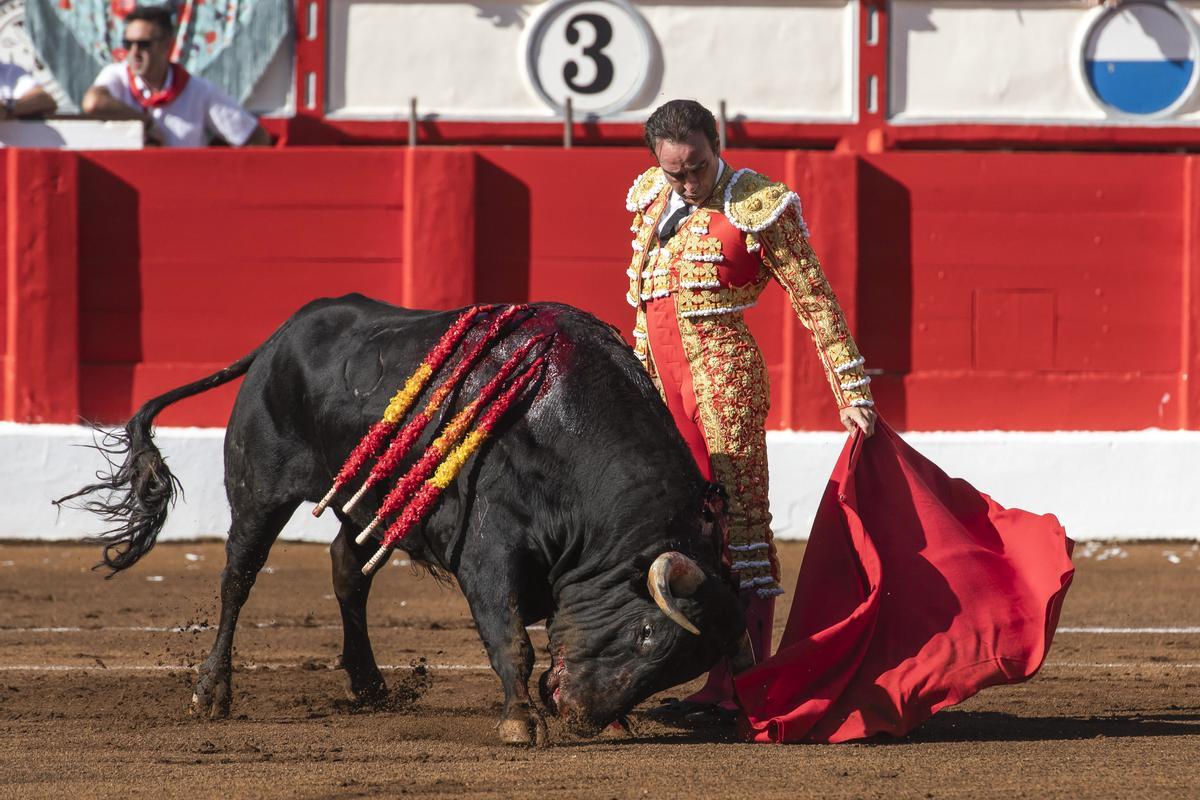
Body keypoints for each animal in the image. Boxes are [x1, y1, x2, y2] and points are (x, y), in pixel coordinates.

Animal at [65, 297, 748, 748]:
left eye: (678, 667)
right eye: (646, 636)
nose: (582, 715)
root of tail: (281, 335)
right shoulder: (489, 548)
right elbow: (511, 637)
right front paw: (520, 722)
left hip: (363, 502)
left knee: (347, 570)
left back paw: (368, 684)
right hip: (259, 490)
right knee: (238, 577)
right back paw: (212, 693)